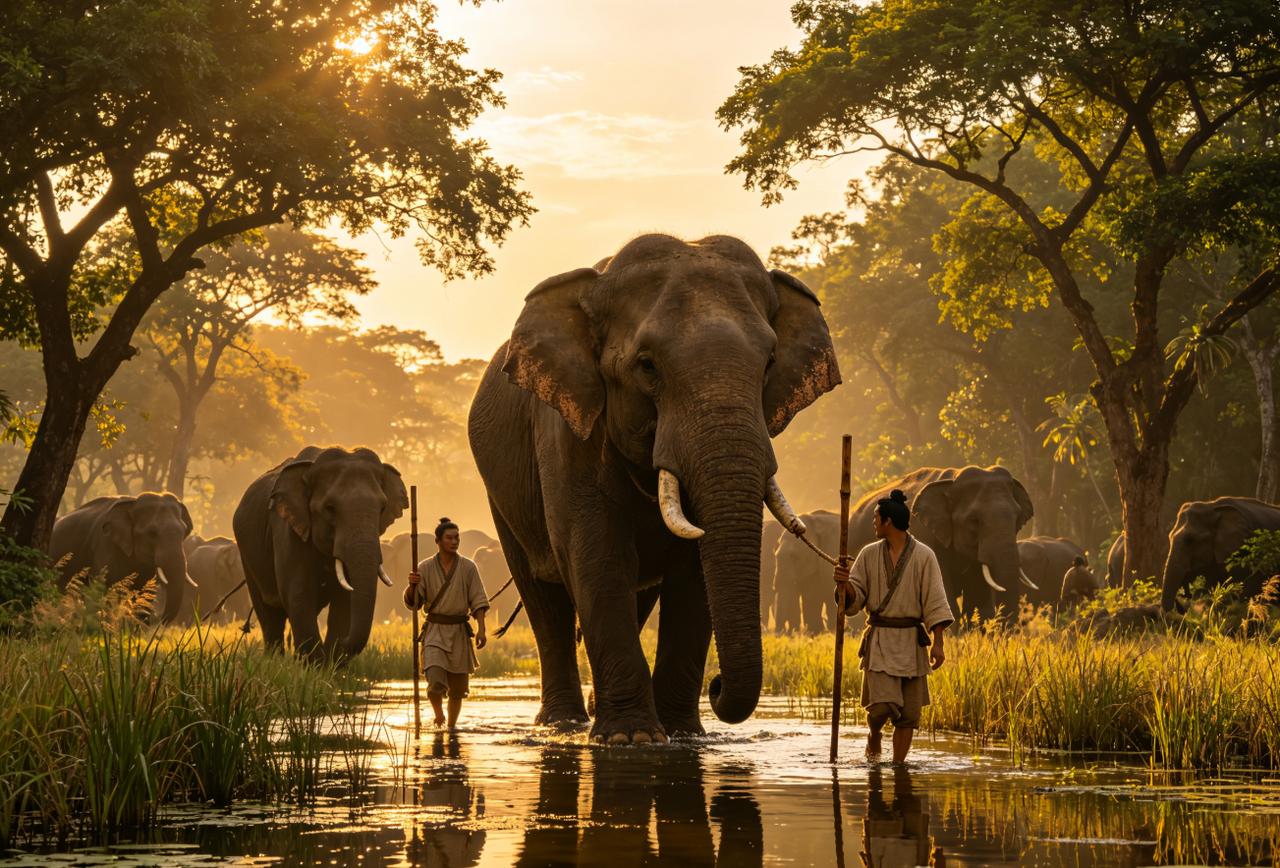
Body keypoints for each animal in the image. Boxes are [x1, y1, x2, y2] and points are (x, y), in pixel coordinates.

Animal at [49, 492, 196, 622]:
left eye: (184, 532)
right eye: (152, 533)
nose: (156, 618)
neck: (132, 502)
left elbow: (144, 592)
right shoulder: (105, 544)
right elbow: (104, 588)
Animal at [232, 445, 408, 661]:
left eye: (382, 508)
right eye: (330, 508)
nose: (344, 642)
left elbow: (345, 601)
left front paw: (331, 663)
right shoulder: (288, 529)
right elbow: (299, 593)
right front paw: (315, 664)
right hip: (246, 556)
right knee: (269, 613)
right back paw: (275, 660)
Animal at [468, 234, 840, 742]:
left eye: (768, 364)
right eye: (646, 365)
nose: (717, 686)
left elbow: (693, 576)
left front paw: (684, 735)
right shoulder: (569, 431)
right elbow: (596, 555)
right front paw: (631, 738)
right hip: (502, 496)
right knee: (543, 595)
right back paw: (563, 723)